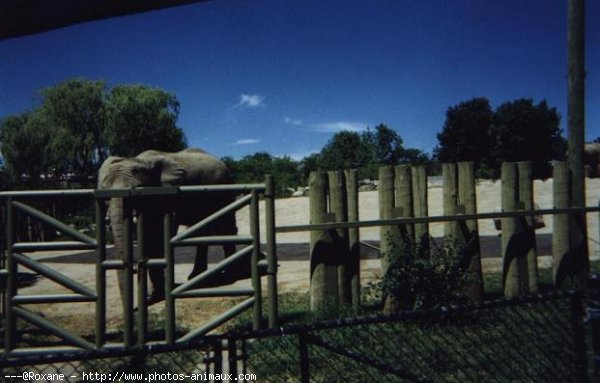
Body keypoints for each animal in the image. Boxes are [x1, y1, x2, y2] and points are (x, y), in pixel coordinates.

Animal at [97, 148, 240, 306]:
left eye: (135, 192)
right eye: (105, 196)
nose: (134, 268)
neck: (140, 160)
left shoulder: (168, 193)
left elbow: (160, 238)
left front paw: (158, 294)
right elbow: (149, 236)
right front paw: (153, 296)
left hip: (224, 188)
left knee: (225, 226)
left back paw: (229, 276)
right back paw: (196, 277)